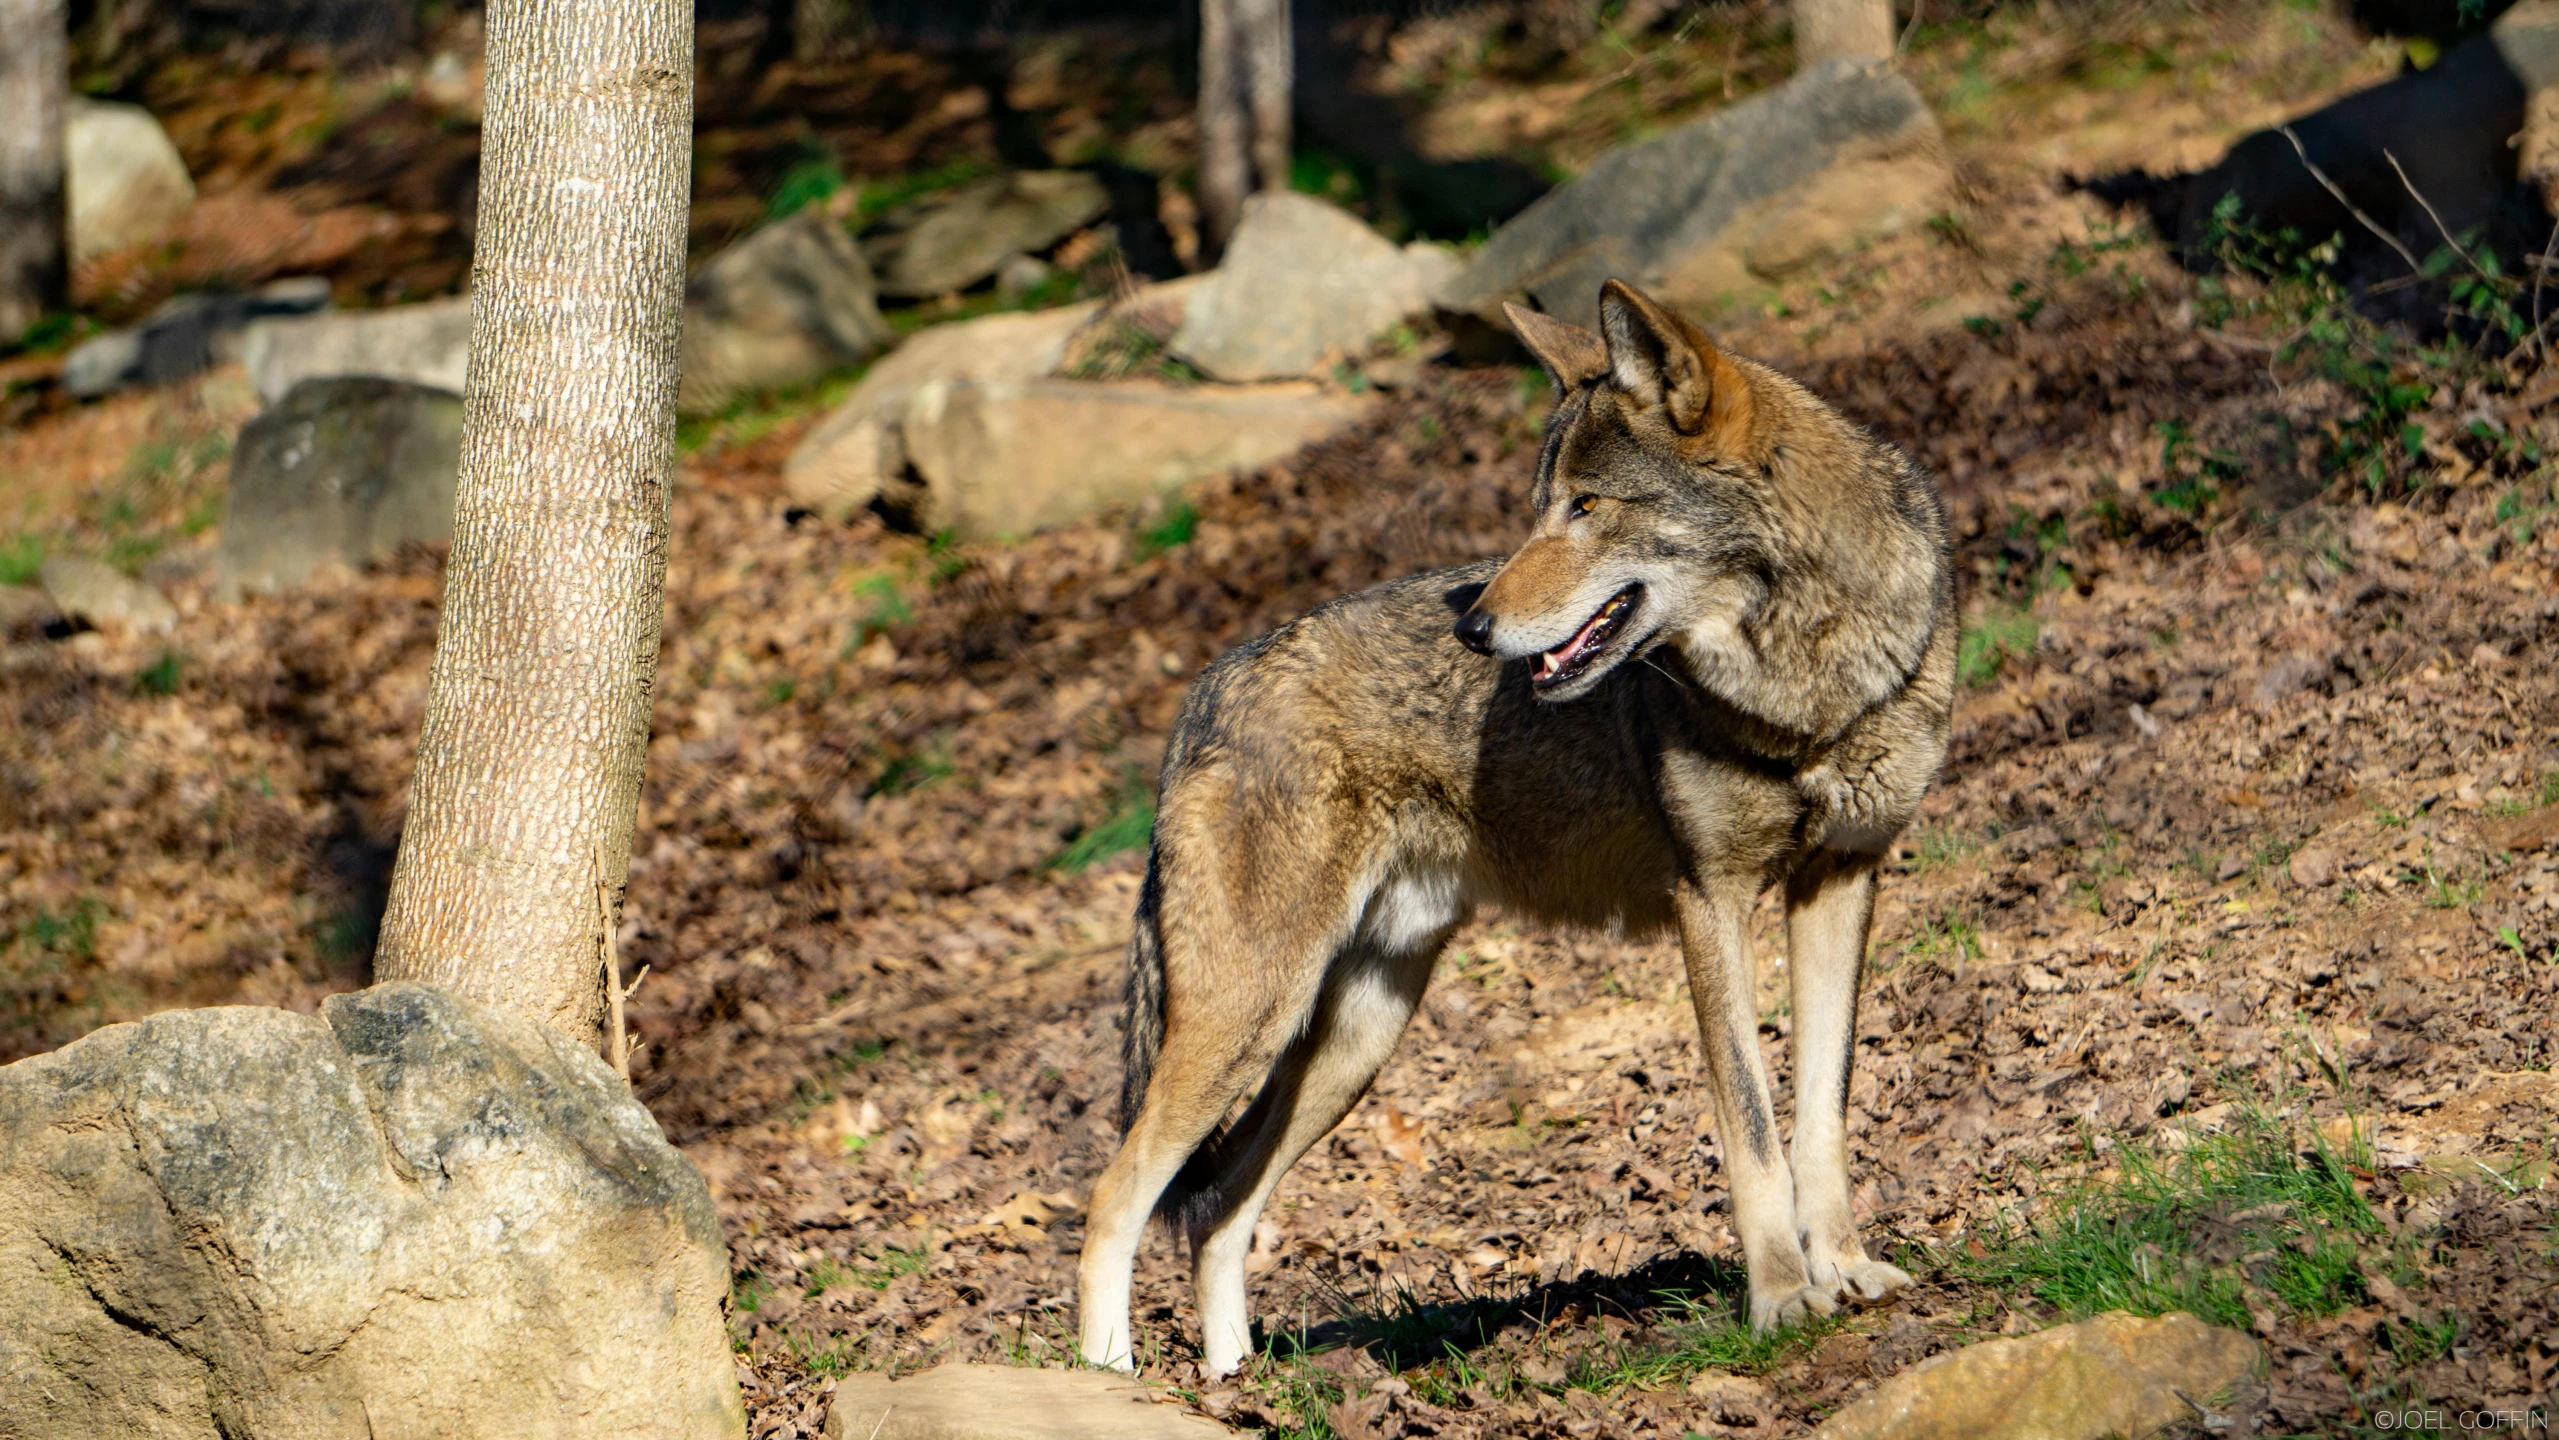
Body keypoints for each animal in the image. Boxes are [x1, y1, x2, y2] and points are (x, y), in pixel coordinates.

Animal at [1069, 278, 1944, 1370]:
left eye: (1585, 507)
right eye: (1538, 509)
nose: (1473, 628)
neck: (1805, 691)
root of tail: (1204, 693)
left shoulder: (1840, 883)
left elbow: (1820, 1116)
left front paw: (1846, 1272)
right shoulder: (1710, 904)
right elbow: (1750, 1131)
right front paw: (1783, 1300)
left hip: (1352, 1037)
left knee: (1219, 1212)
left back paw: (1237, 1385)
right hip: (1247, 1021)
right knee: (1115, 1199)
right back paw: (1112, 1377)